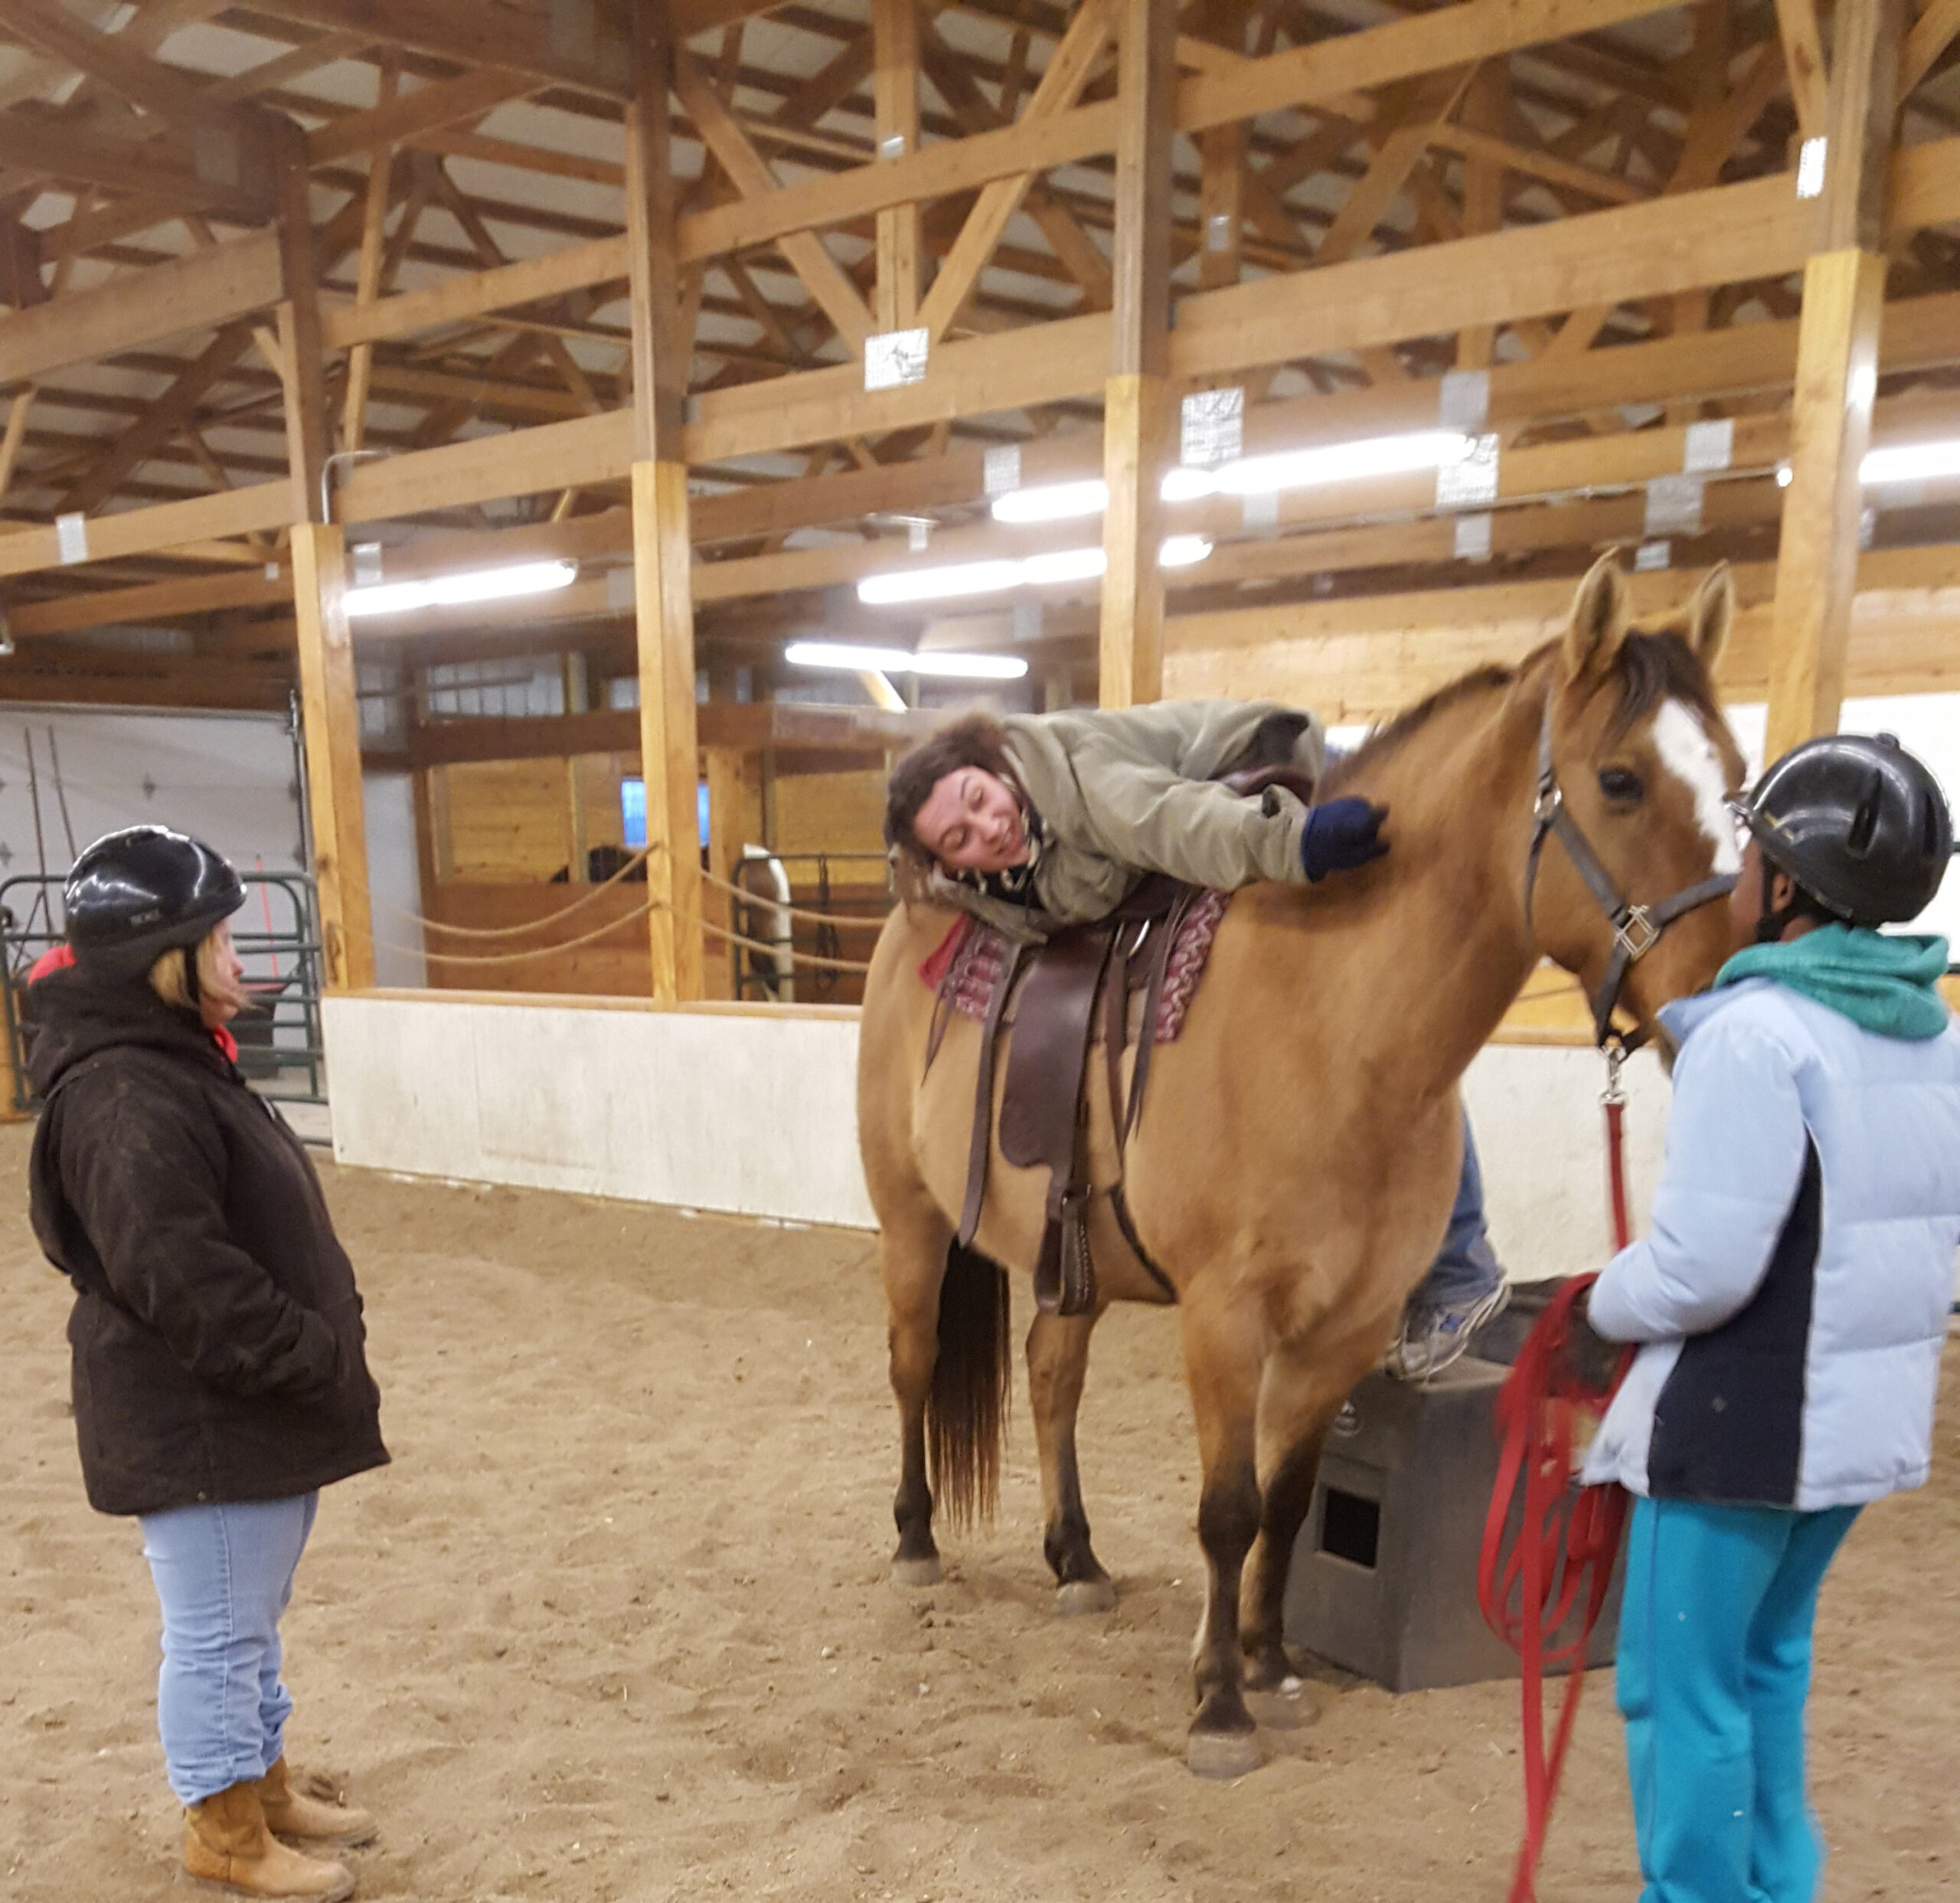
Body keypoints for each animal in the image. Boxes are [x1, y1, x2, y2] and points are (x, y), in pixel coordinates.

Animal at [855, 555, 1746, 1775]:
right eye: (1618, 779)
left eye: (1741, 779)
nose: (1736, 981)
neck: (1329, 1024)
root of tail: (909, 923)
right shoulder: (1226, 1318)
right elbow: (1228, 1506)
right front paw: (1219, 1708)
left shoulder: (1343, 1330)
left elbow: (1284, 1500)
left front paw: (1268, 1664)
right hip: (909, 1224)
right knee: (912, 1364)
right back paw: (913, 1539)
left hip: (1067, 1263)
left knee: (1049, 1376)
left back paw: (1075, 1559)